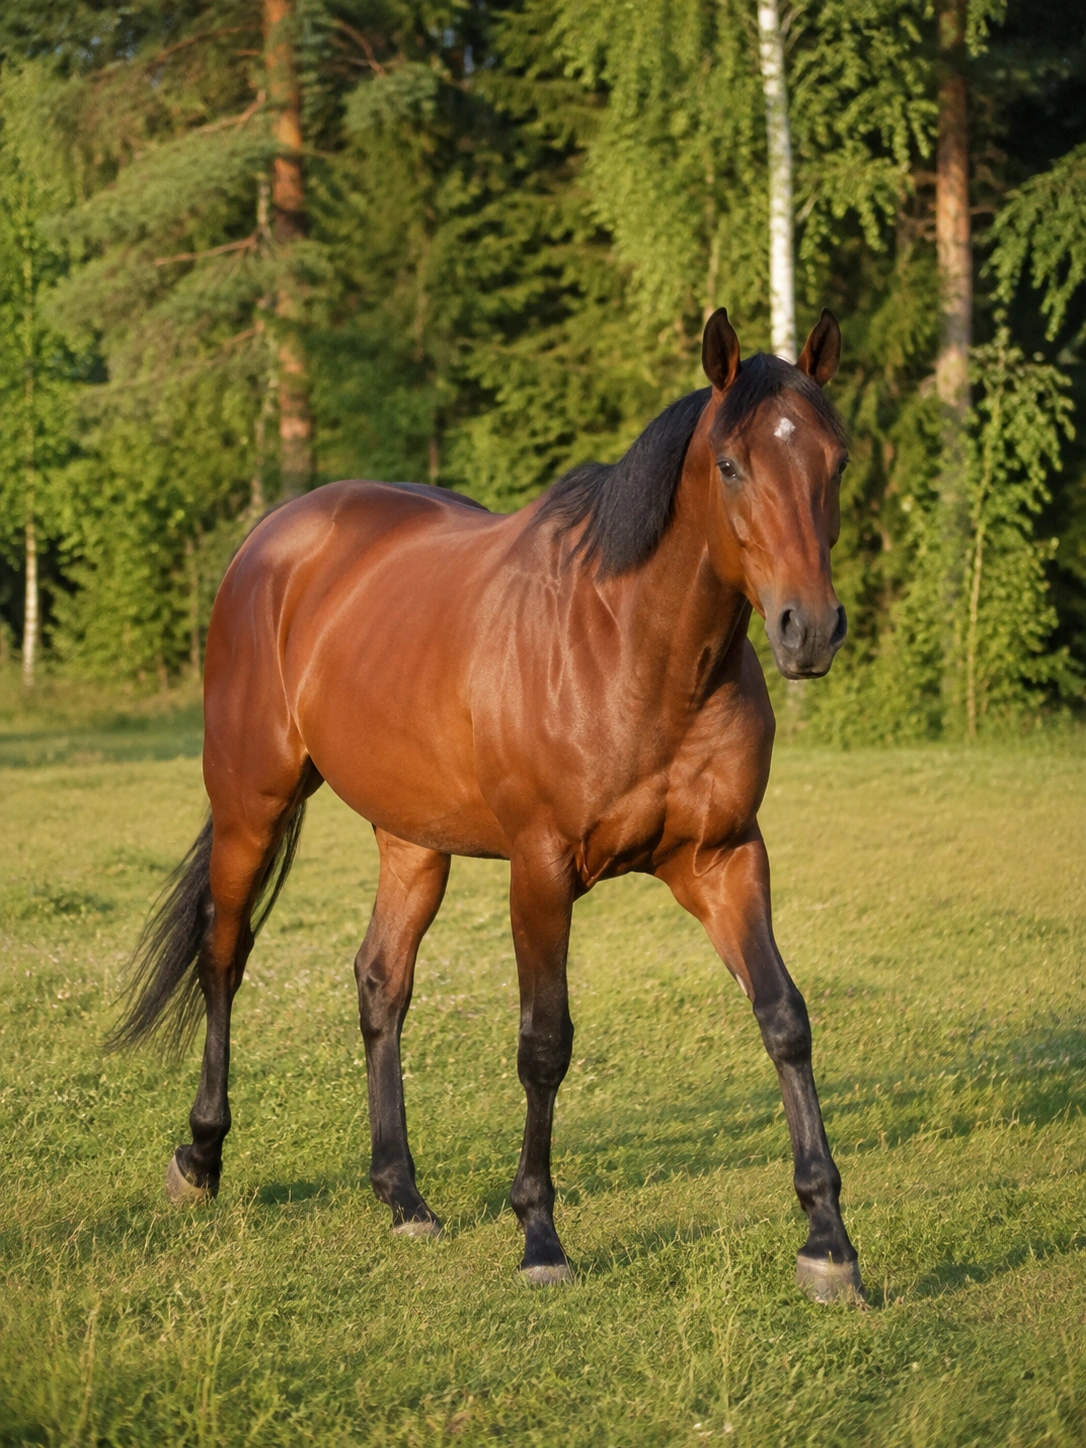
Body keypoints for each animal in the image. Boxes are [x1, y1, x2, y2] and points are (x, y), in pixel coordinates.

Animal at [112, 307, 862, 1303]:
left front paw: (830, 1242)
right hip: (249, 803)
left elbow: (785, 1019)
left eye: (836, 460)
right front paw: (540, 1235)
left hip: (412, 840)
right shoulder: (541, 870)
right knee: (223, 957)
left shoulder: (726, 858)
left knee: (381, 982)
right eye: (733, 465)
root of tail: (277, 536)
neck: (634, 649)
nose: (807, 629)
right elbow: (545, 1044)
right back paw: (199, 1159)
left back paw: (402, 1194)